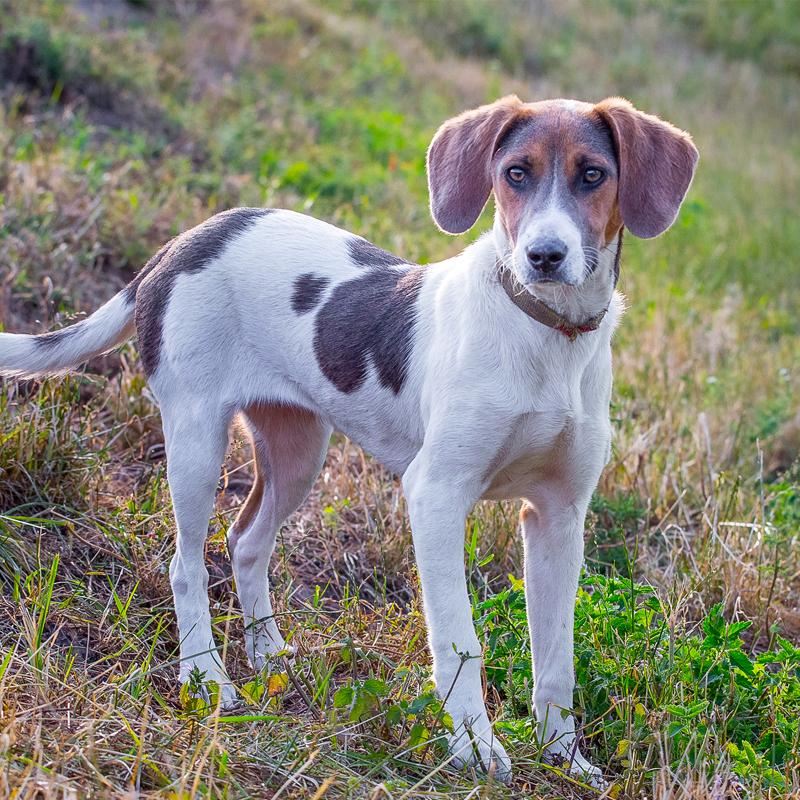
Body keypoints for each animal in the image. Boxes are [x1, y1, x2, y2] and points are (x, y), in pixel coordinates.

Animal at [0, 97, 696, 784]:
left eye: (592, 175)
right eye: (516, 174)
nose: (543, 256)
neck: (548, 334)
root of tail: (184, 241)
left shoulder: (558, 515)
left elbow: (557, 655)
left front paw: (564, 757)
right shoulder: (436, 495)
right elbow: (460, 640)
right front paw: (475, 749)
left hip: (299, 452)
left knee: (246, 541)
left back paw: (270, 656)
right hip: (196, 440)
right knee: (186, 565)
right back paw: (207, 679)